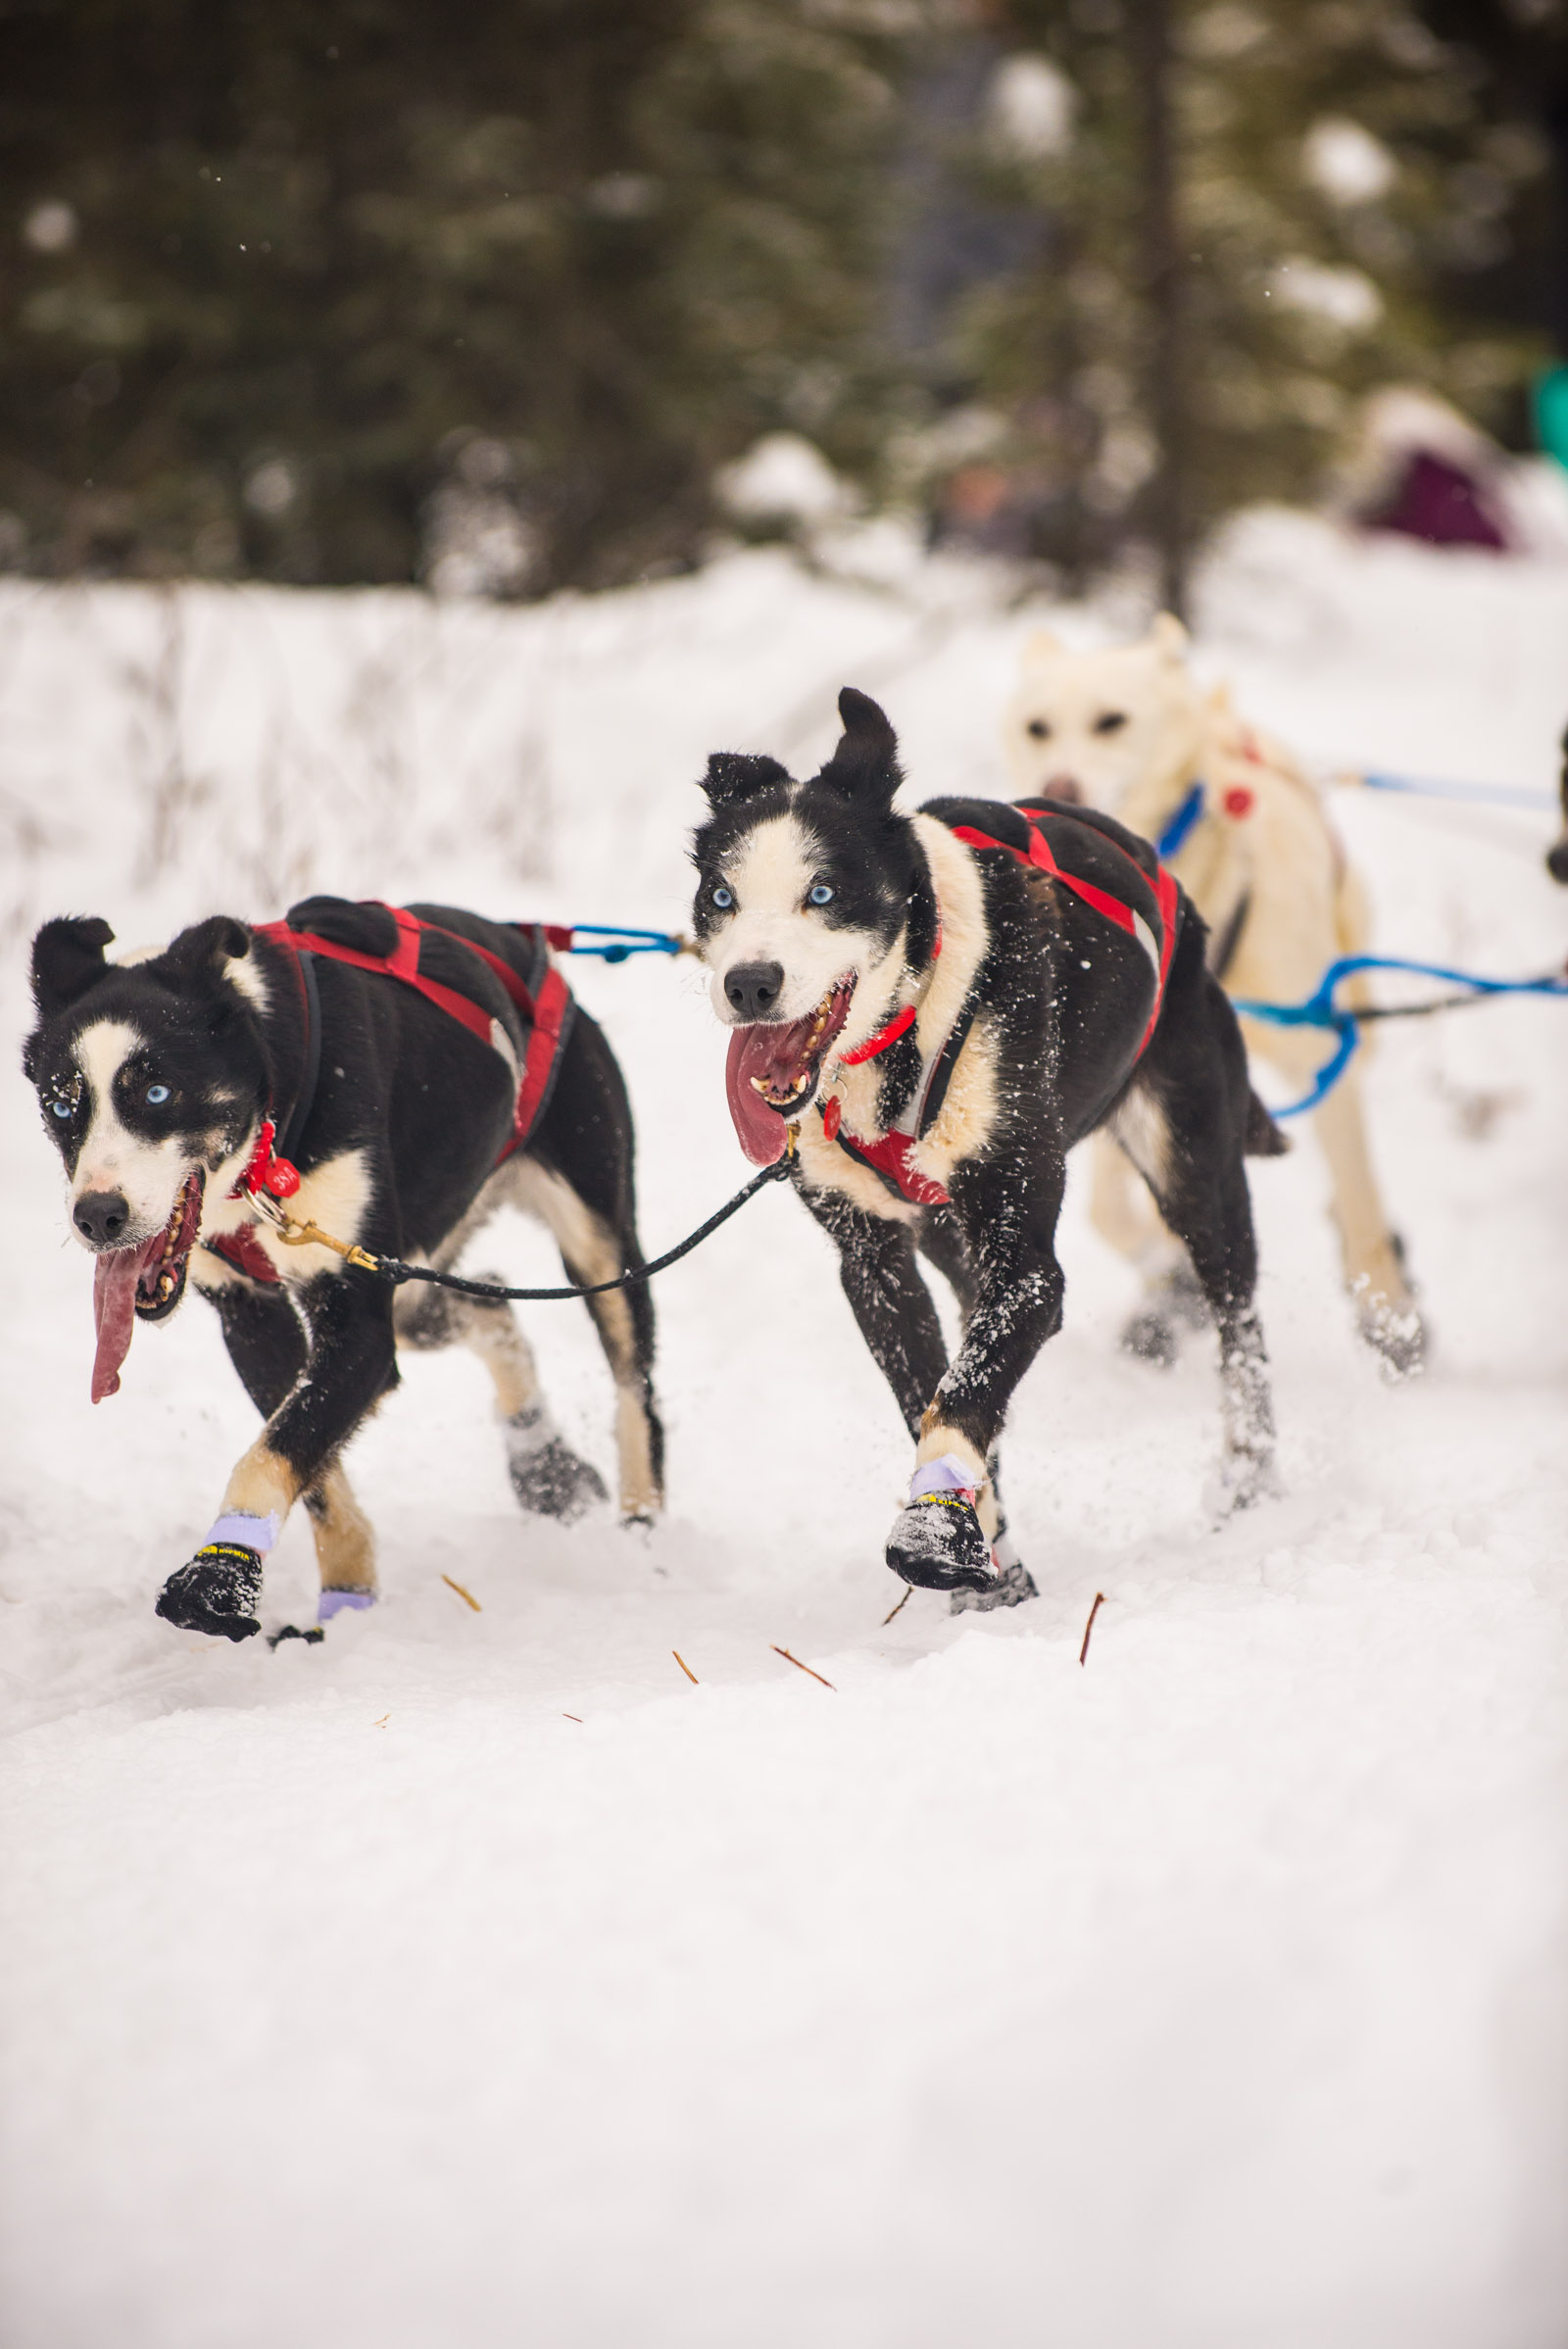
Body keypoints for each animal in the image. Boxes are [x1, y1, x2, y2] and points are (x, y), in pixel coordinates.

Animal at [24, 897, 662, 1653]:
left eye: (156, 1091)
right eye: (63, 1105)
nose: (96, 1215)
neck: (268, 1134)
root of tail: (522, 941)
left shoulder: (355, 1324)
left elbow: (271, 1453)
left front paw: (217, 1575)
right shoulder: (253, 1318)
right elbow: (310, 1462)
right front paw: (347, 1597)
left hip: (598, 1245)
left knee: (635, 1391)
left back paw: (642, 1530)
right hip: (413, 1283)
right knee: (494, 1310)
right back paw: (544, 1465)